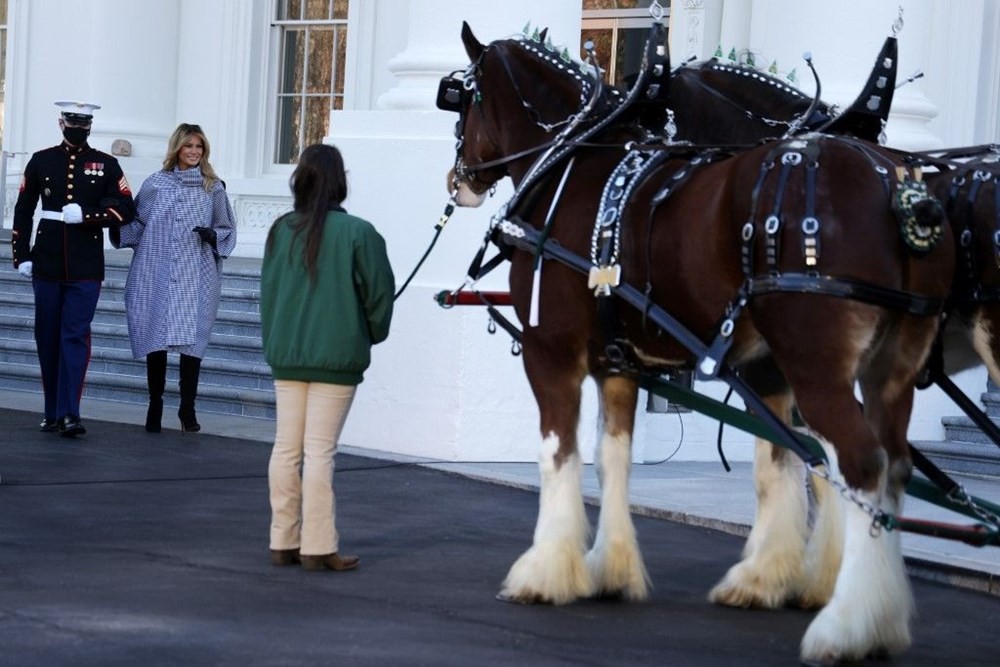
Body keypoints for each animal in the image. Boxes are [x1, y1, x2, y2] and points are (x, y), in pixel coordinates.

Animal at [444, 23, 952, 664]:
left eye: (460, 98)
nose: (457, 178)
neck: (573, 164)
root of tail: (900, 191)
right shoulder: (621, 363)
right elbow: (616, 457)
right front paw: (612, 569)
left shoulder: (550, 350)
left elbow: (558, 454)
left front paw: (544, 571)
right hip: (886, 371)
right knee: (889, 466)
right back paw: (871, 613)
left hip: (814, 366)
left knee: (859, 463)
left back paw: (846, 625)